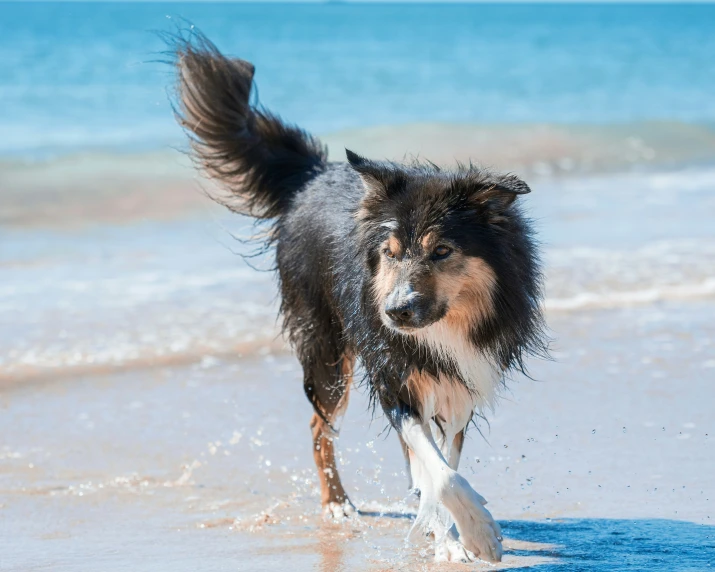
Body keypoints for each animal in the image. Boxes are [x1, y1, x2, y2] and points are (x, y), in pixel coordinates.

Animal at [171, 31, 544, 564]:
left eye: (442, 250)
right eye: (389, 253)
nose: (394, 312)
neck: (445, 325)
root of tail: (313, 175)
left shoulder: (464, 379)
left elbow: (441, 461)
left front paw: (448, 532)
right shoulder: (392, 375)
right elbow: (441, 471)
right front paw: (472, 534)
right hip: (329, 350)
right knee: (317, 425)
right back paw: (337, 505)